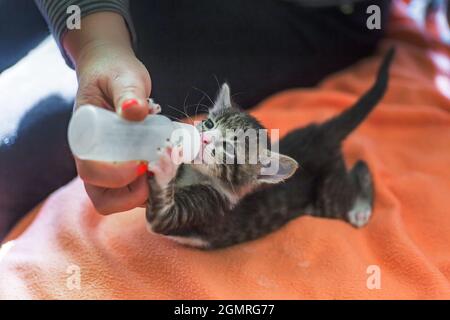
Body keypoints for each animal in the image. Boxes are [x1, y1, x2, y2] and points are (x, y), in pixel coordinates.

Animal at [145, 48, 394, 250]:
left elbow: (160, 215)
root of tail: (319, 131)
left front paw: (164, 167)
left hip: (328, 197)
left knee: (360, 171)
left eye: (229, 148)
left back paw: (361, 211)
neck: (194, 175)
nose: (204, 139)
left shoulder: (206, 211)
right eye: (208, 124)